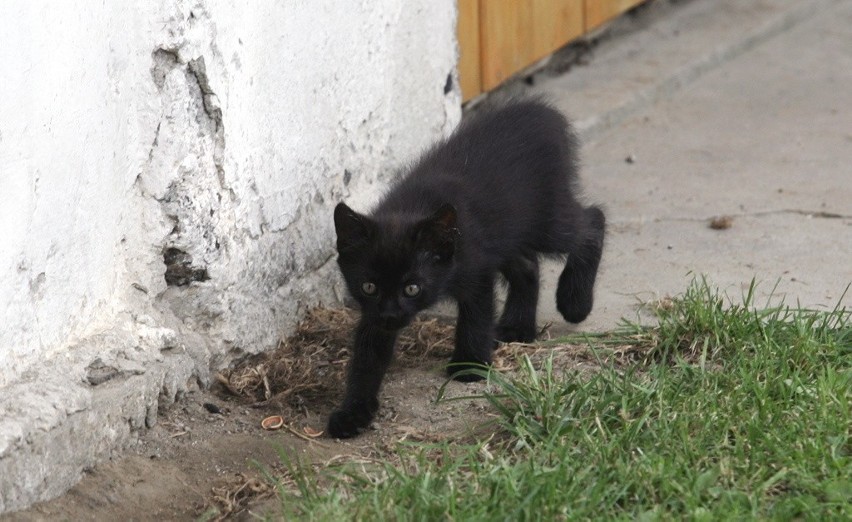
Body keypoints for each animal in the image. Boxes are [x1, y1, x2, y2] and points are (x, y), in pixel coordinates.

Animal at [328, 96, 604, 434]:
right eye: (369, 286)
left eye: (412, 288)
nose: (391, 314)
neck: (411, 209)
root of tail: (542, 112)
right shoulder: (373, 312)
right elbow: (368, 355)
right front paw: (353, 411)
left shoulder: (476, 268)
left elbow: (476, 316)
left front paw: (469, 365)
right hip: (508, 232)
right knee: (527, 265)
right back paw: (518, 327)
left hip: (546, 220)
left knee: (591, 223)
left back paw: (575, 301)